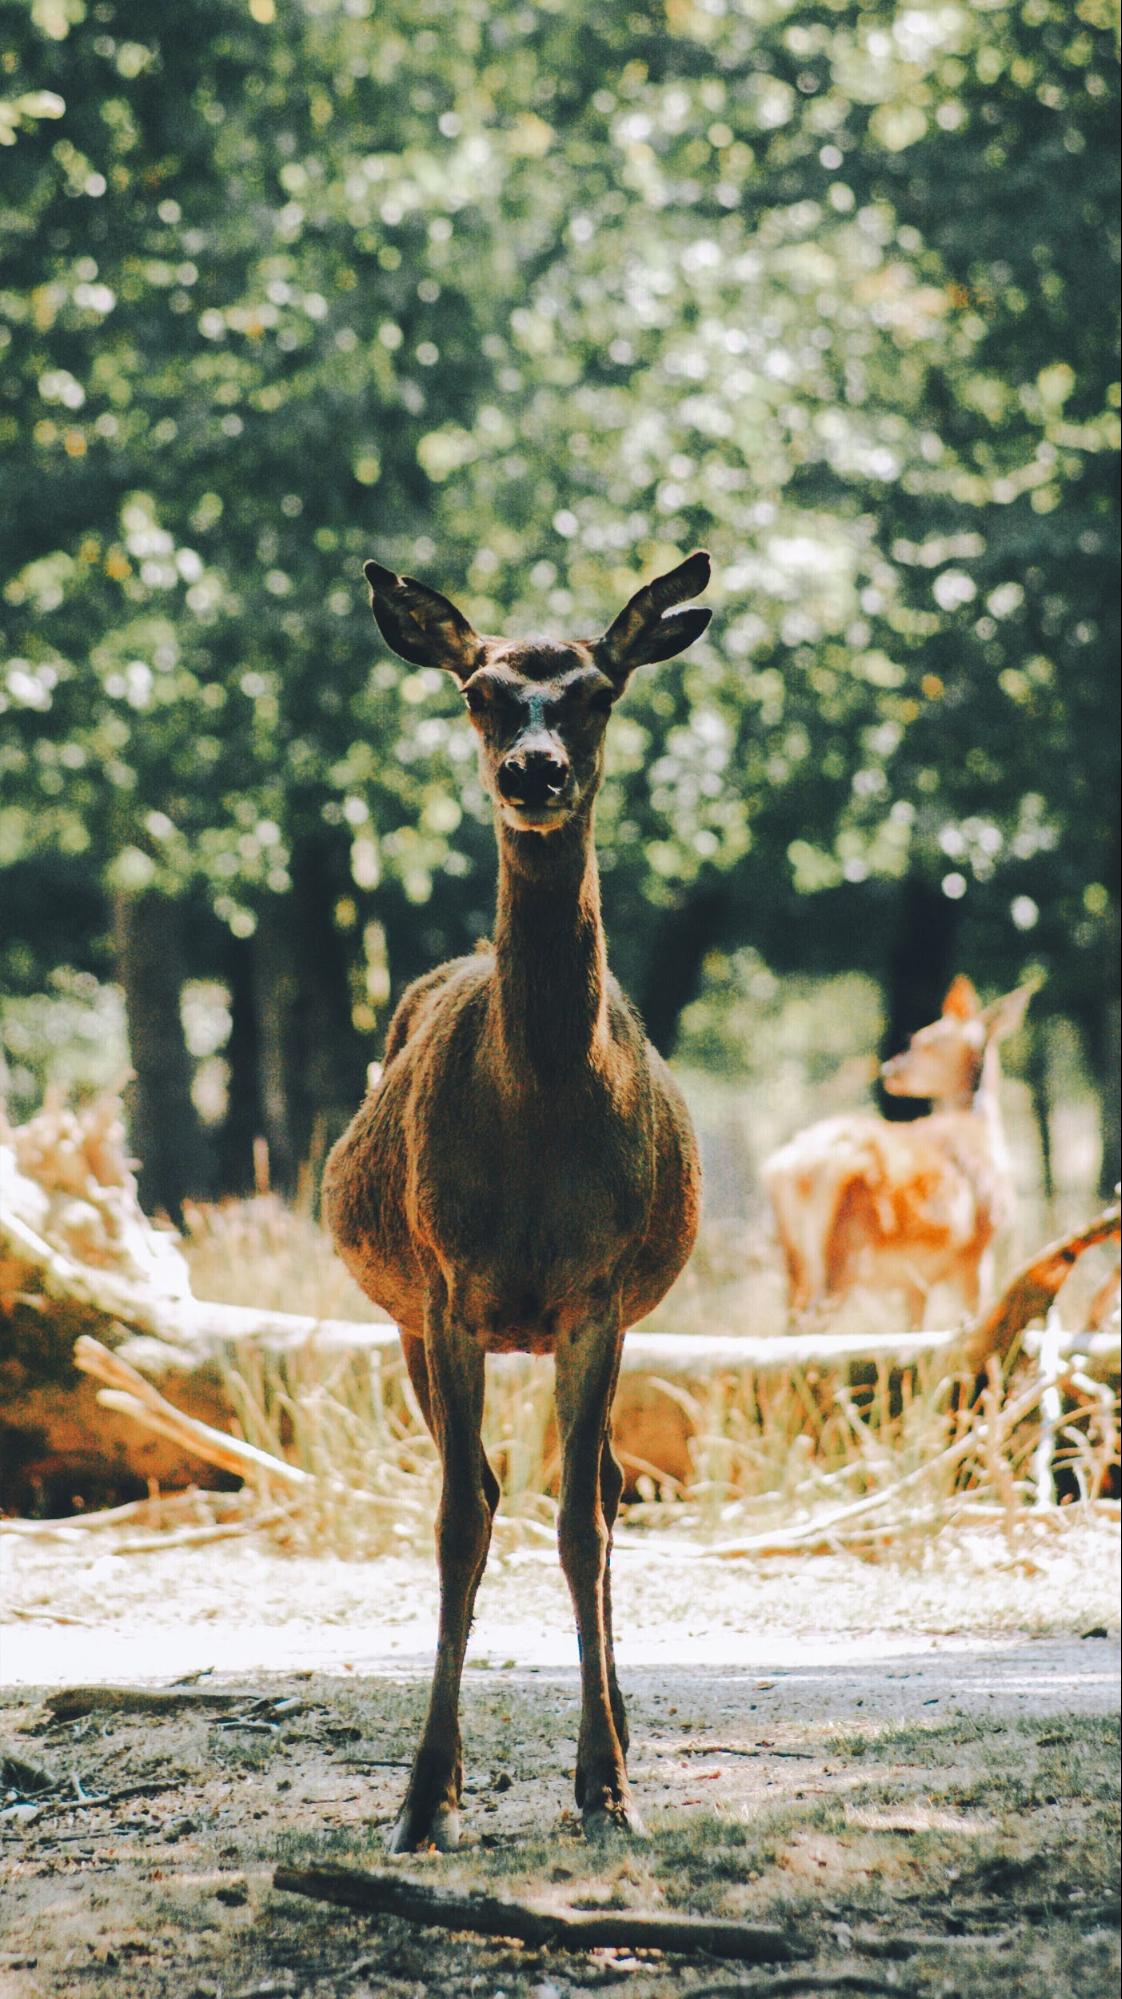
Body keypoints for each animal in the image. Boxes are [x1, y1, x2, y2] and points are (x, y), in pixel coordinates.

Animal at [324, 551, 708, 1855]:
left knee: (600, 1491)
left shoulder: (598, 1293)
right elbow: (457, 1520)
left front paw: (608, 1789)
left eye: (595, 691)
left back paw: (625, 1732)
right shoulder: (449, 1287)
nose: (532, 769)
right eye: (480, 692)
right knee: (494, 1492)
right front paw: (420, 1800)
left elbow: (579, 1521)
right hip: (407, 1318)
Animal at [760, 971, 1032, 1327]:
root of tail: (787, 1169)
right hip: (842, 1255)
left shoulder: (915, 1282)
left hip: (795, 1262)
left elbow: (914, 1330)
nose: (890, 1070)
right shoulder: (977, 1251)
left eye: (927, 1042)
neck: (985, 1136)